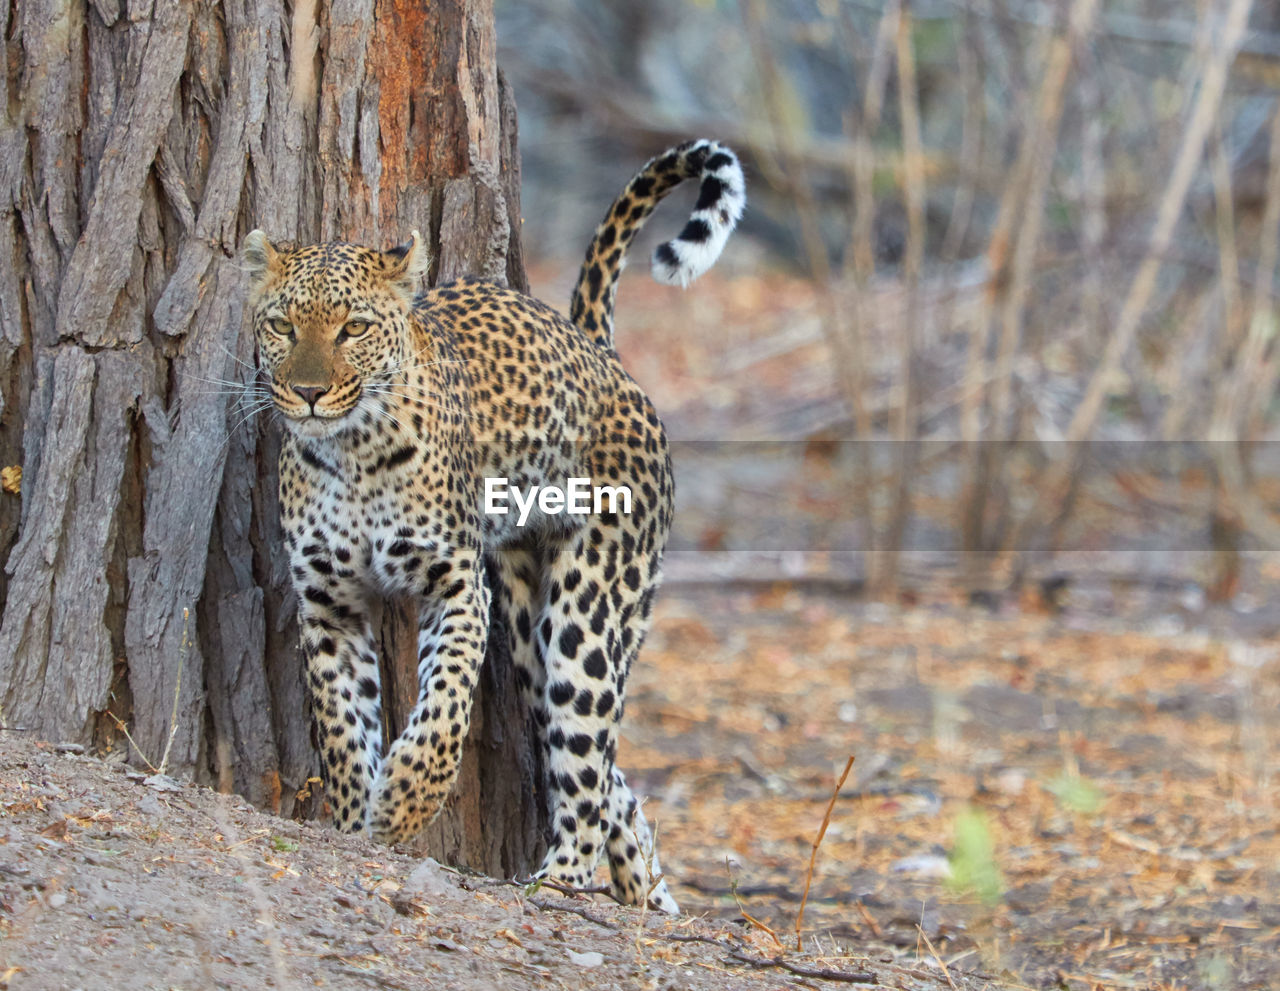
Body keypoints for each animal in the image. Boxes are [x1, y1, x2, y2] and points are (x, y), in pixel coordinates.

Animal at [240, 139, 747, 916]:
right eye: (281, 325)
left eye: (353, 328)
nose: (308, 392)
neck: (351, 454)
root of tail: (597, 352)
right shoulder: (328, 603)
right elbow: (341, 722)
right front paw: (354, 818)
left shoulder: (455, 584)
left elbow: (446, 706)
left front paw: (404, 804)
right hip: (529, 627)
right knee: (605, 771)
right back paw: (648, 893)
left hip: (589, 610)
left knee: (588, 755)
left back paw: (561, 878)